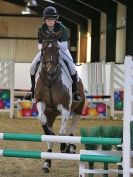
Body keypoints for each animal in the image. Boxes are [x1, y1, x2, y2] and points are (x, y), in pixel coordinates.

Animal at [34, 38, 85, 173]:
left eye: (57, 49)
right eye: (43, 50)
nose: (51, 71)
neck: (50, 81)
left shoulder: (66, 107)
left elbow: (62, 133)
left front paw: (63, 145)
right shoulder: (41, 103)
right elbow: (42, 120)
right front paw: (49, 133)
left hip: (78, 110)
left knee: (71, 128)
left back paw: (69, 147)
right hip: (51, 114)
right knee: (50, 135)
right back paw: (46, 163)